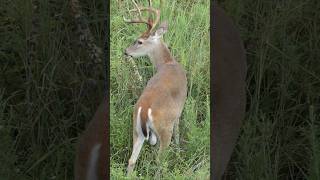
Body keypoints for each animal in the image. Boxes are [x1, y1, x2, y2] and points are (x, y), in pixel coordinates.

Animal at [122, 0, 188, 175]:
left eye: (139, 41)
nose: (125, 51)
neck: (167, 63)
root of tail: (145, 109)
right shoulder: (179, 111)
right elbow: (178, 132)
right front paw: (178, 151)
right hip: (164, 128)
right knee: (160, 159)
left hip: (136, 129)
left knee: (132, 160)